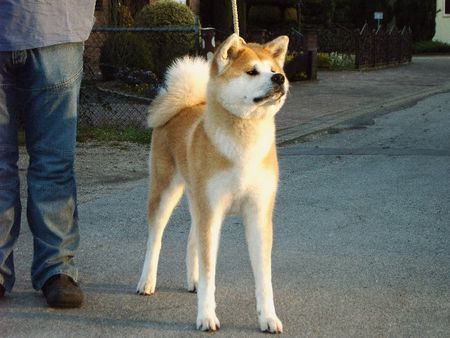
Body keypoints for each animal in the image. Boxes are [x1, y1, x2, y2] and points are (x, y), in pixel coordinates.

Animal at [137, 33, 290, 334]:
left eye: (274, 70)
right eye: (252, 71)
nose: (279, 79)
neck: (244, 147)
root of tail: (185, 106)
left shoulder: (257, 214)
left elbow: (263, 278)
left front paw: (268, 317)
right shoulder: (212, 211)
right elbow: (210, 274)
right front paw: (206, 316)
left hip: (198, 200)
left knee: (191, 238)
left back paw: (192, 281)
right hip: (165, 192)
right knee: (154, 239)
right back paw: (147, 281)